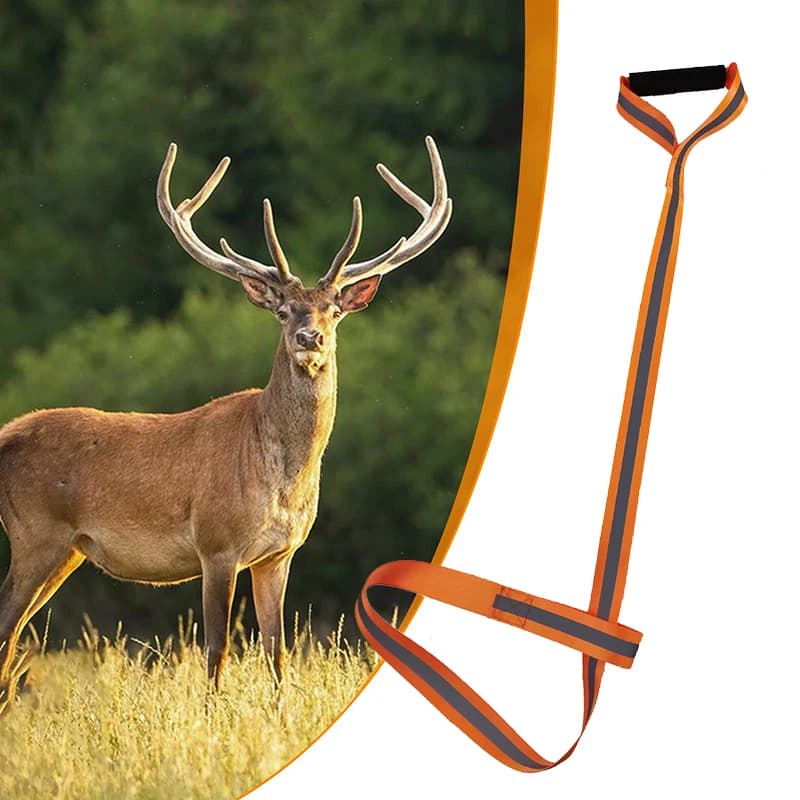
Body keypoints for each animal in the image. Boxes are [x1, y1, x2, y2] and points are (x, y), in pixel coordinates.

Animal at [0, 136, 452, 714]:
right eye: (283, 310)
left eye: (333, 310)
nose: (309, 338)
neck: (281, 478)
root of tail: (7, 436)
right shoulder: (216, 544)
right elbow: (217, 649)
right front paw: (210, 716)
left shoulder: (279, 554)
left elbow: (277, 650)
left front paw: (280, 715)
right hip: (36, 534)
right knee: (6, 629)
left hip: (66, 550)